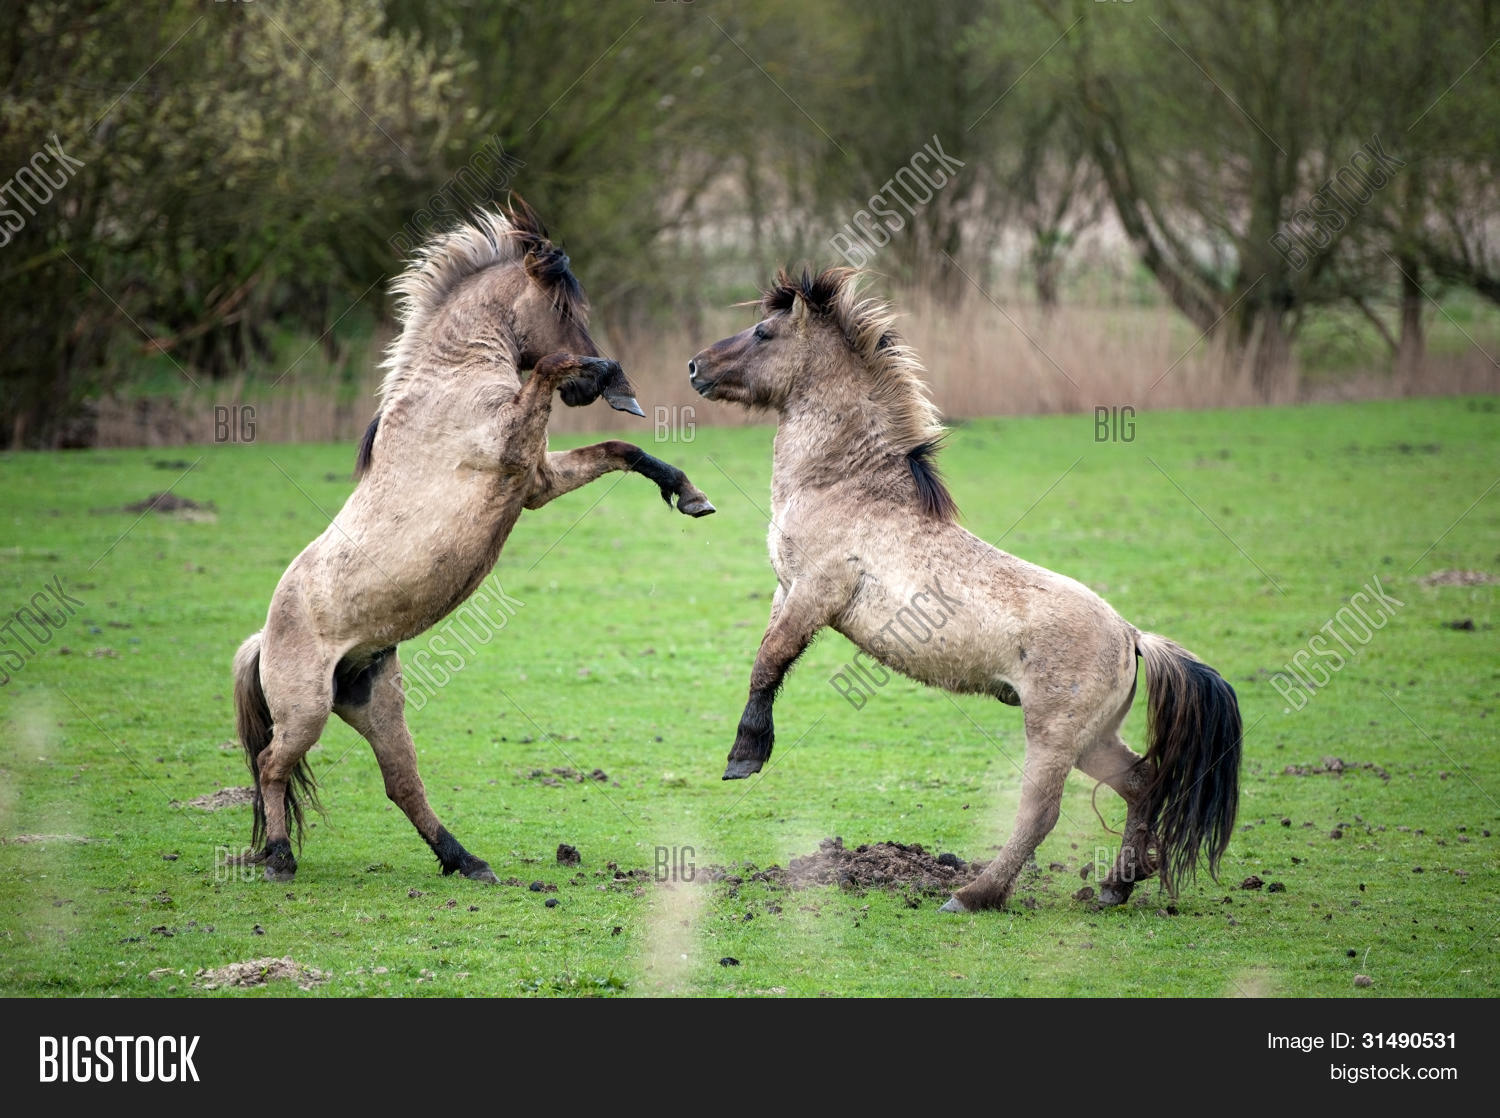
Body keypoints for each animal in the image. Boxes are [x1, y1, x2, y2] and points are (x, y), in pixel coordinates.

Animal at [232, 198, 716, 884]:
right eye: (564, 306)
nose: (589, 384)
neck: (453, 379)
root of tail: (262, 638)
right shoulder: (515, 454)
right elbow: (551, 370)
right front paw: (605, 377)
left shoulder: (535, 479)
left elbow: (621, 450)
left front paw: (689, 493)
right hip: (306, 711)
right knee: (273, 764)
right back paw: (278, 856)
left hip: (375, 705)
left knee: (401, 785)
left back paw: (465, 861)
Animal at [687, 266, 1241, 911]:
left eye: (763, 332)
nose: (694, 367)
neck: (846, 487)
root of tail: (1132, 636)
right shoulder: (786, 590)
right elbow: (767, 659)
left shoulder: (813, 592)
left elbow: (769, 662)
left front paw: (744, 756)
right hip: (1094, 740)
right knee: (1142, 784)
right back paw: (1113, 887)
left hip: (1054, 737)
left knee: (1041, 813)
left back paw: (975, 894)